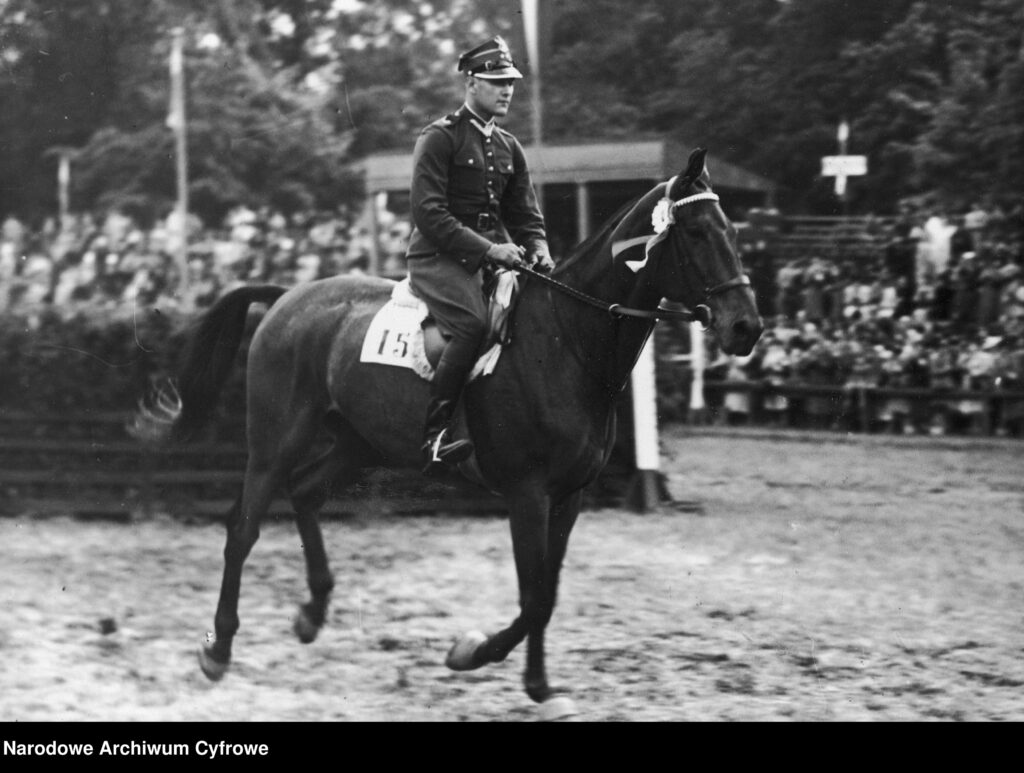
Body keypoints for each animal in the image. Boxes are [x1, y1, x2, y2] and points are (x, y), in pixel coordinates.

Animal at [136, 149, 761, 720]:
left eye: (733, 230)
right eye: (698, 233)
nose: (746, 328)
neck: (565, 339)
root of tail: (289, 297)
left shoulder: (570, 496)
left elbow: (547, 594)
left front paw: (538, 686)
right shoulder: (528, 493)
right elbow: (532, 597)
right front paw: (472, 653)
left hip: (358, 441)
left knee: (306, 494)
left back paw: (311, 614)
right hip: (275, 440)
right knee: (243, 528)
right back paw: (218, 648)